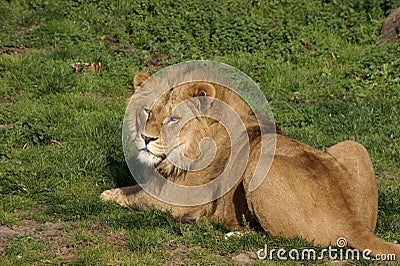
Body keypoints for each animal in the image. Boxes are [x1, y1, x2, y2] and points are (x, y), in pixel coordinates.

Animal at [102, 72, 400, 258]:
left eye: (173, 118)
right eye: (148, 112)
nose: (146, 138)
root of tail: (351, 221)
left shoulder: (175, 200)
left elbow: (136, 195)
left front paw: (108, 194)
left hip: (258, 163)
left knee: (281, 240)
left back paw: (228, 233)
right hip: (354, 146)